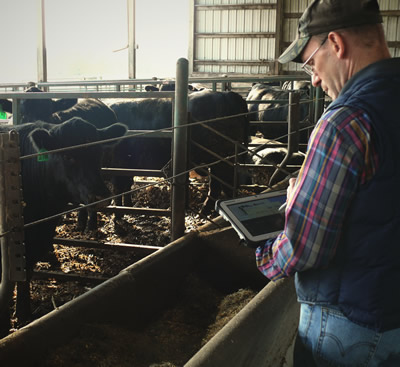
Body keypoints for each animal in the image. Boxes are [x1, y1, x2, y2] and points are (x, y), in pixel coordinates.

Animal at [108, 89, 248, 214]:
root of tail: (226, 94)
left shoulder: (117, 165)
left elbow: (118, 189)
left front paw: (119, 212)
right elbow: (125, 186)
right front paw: (127, 206)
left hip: (221, 160)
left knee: (221, 186)